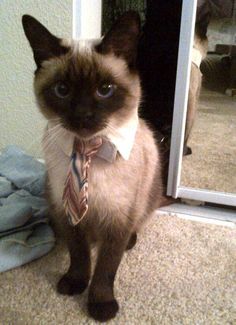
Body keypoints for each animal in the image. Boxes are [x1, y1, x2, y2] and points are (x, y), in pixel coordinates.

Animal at [22, 10, 162, 322]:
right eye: (62, 90)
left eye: (105, 90)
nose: (83, 115)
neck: (88, 150)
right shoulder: (69, 215)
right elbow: (80, 255)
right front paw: (75, 283)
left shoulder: (117, 220)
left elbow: (106, 269)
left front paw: (100, 305)